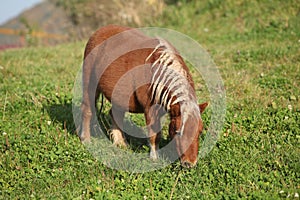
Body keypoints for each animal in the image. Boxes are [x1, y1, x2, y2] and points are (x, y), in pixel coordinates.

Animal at [78, 25, 207, 169]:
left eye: (200, 131)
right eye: (178, 131)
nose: (190, 163)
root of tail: (99, 31)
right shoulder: (149, 110)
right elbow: (154, 135)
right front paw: (154, 158)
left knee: (115, 114)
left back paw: (120, 143)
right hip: (90, 84)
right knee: (87, 109)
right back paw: (86, 139)